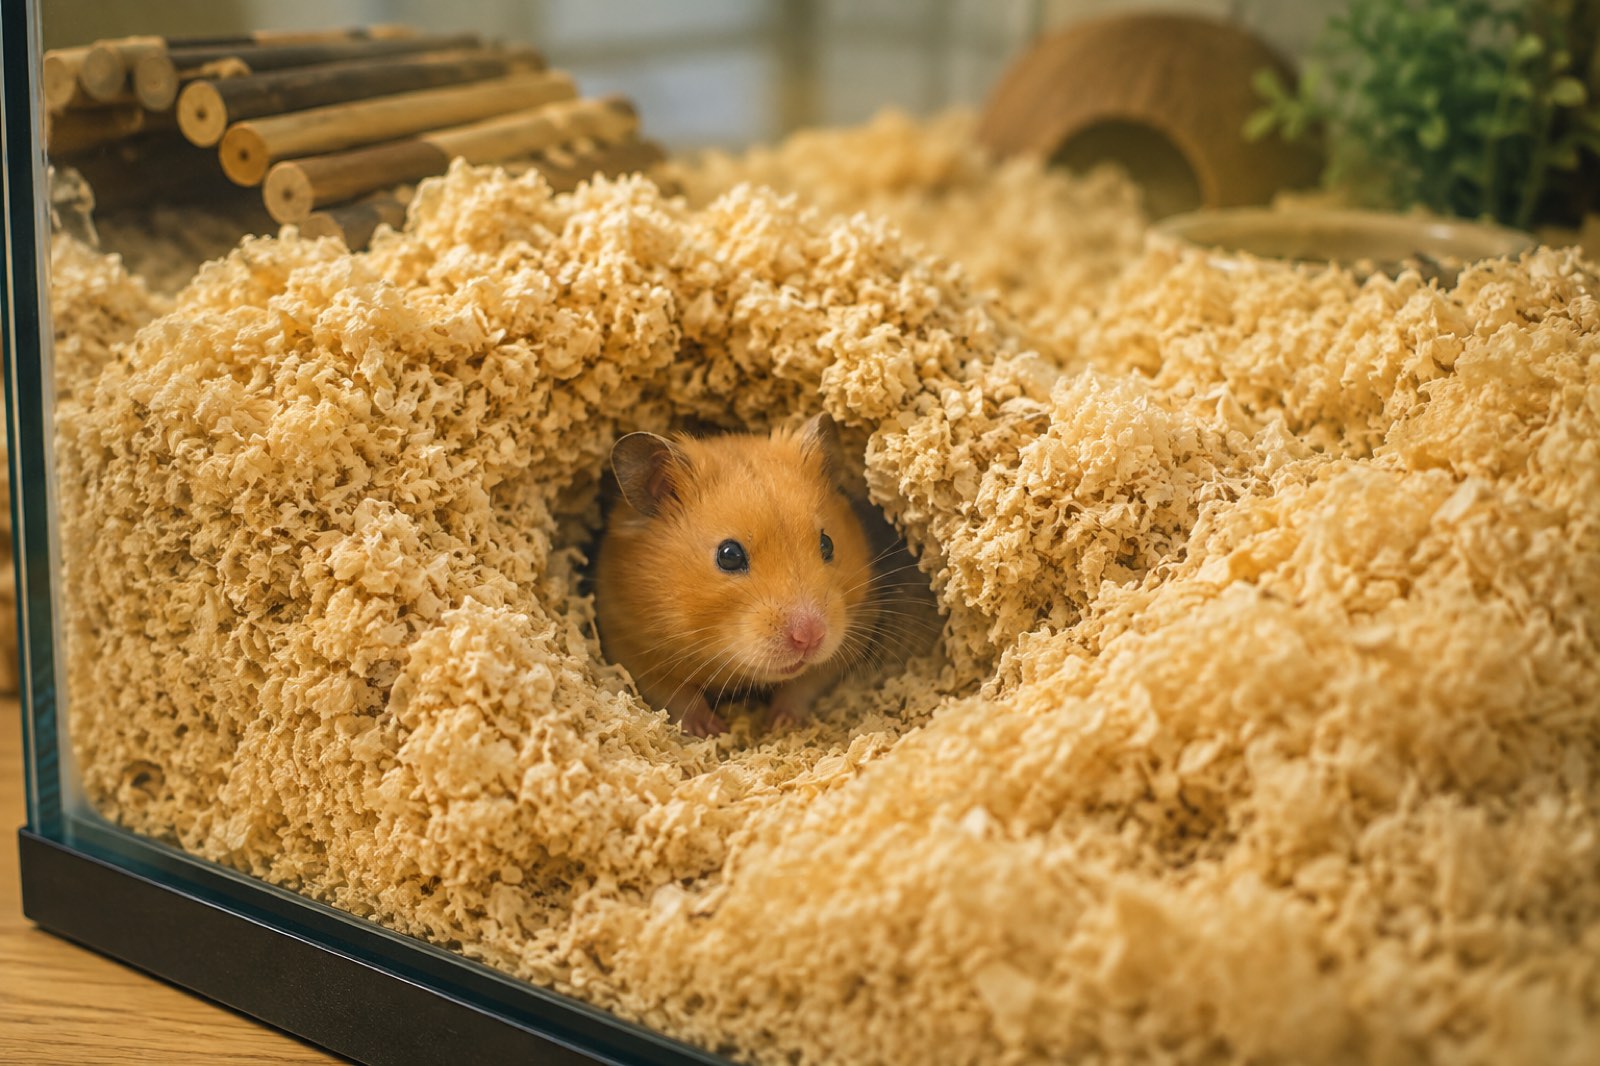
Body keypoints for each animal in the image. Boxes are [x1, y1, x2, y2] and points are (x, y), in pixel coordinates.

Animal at [594, 414, 878, 737]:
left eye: (827, 544)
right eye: (728, 555)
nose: (810, 637)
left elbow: (804, 684)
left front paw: (781, 724)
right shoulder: (630, 646)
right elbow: (676, 695)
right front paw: (711, 731)